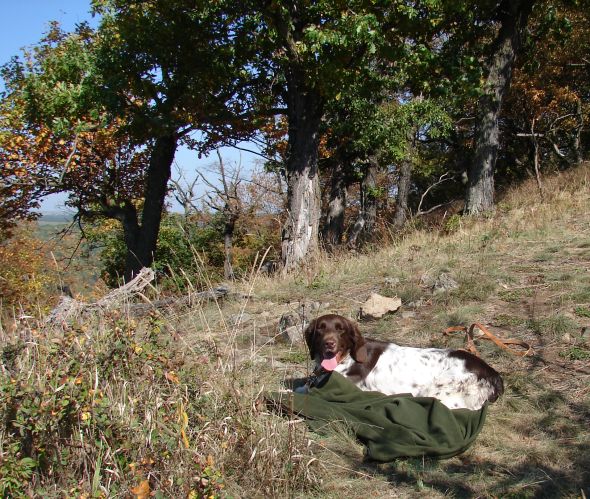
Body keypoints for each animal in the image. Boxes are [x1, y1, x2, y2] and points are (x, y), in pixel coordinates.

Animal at [306, 316, 504, 410]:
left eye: (341, 330)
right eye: (320, 329)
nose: (329, 344)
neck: (347, 357)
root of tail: (494, 374)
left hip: (439, 395)